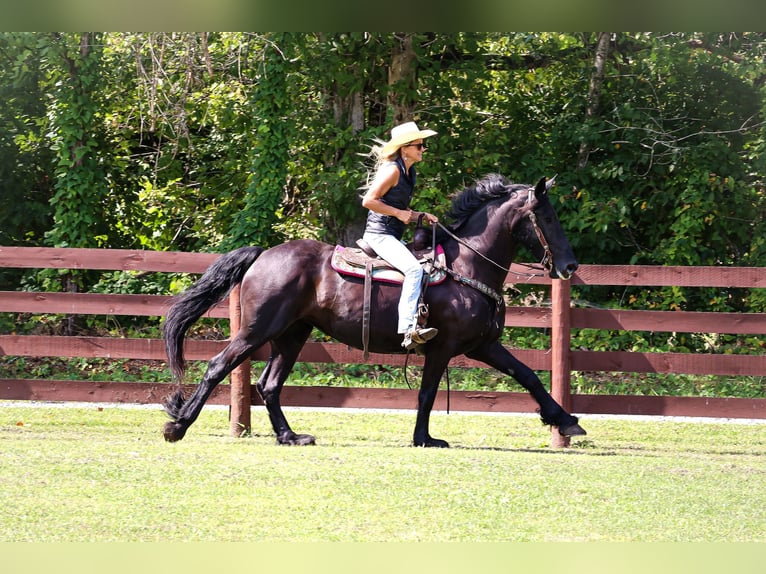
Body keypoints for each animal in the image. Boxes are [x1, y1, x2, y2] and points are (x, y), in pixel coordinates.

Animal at [162, 176, 584, 450]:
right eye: (547, 218)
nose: (570, 265)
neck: (467, 267)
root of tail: (264, 254)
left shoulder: (483, 345)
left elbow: (528, 375)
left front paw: (565, 420)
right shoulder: (444, 347)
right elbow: (428, 393)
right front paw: (424, 439)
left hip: (292, 334)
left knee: (269, 385)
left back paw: (290, 436)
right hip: (257, 329)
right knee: (219, 366)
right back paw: (178, 426)